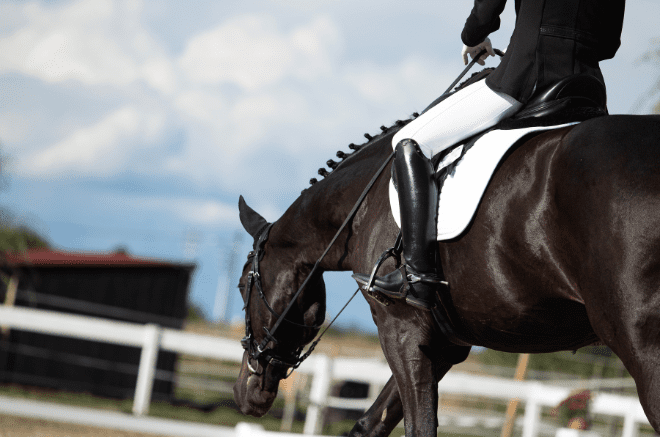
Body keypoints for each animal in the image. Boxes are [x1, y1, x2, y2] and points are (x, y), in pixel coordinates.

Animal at [232, 109, 660, 436]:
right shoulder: (444, 343)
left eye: (241, 287)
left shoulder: (400, 329)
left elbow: (419, 427)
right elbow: (369, 424)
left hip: (642, 344)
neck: (363, 203)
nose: (244, 393)